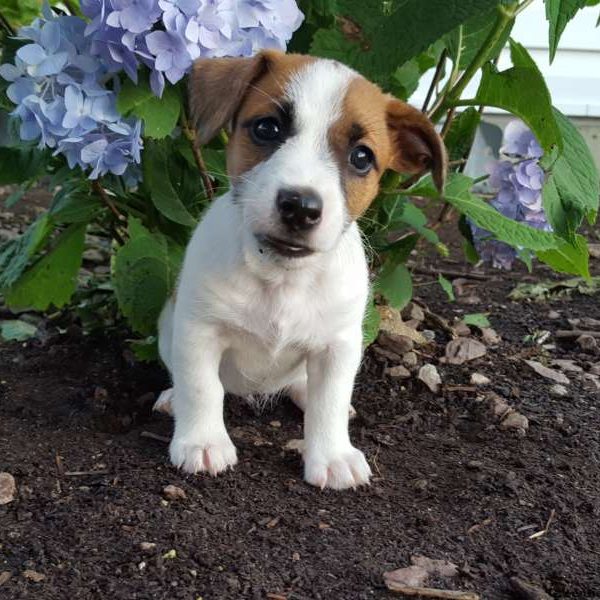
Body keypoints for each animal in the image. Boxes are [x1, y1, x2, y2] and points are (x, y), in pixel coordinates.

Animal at [155, 50, 446, 492]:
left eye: (362, 157)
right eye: (267, 128)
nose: (300, 207)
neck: (282, 279)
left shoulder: (339, 345)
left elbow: (330, 402)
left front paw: (333, 454)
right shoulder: (197, 331)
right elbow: (202, 387)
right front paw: (202, 441)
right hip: (167, 327)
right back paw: (174, 400)